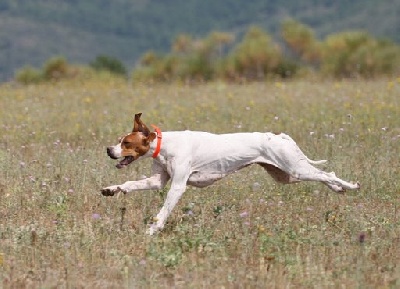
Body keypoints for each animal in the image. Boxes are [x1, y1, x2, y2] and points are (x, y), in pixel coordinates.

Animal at [101, 112, 360, 234]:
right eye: (119, 140)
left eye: (126, 143)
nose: (108, 150)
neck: (165, 146)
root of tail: (279, 135)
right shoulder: (157, 180)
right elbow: (131, 183)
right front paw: (111, 189)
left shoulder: (178, 186)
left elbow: (163, 211)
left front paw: (153, 230)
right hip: (285, 174)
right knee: (324, 174)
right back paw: (339, 188)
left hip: (294, 167)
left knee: (326, 174)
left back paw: (349, 185)